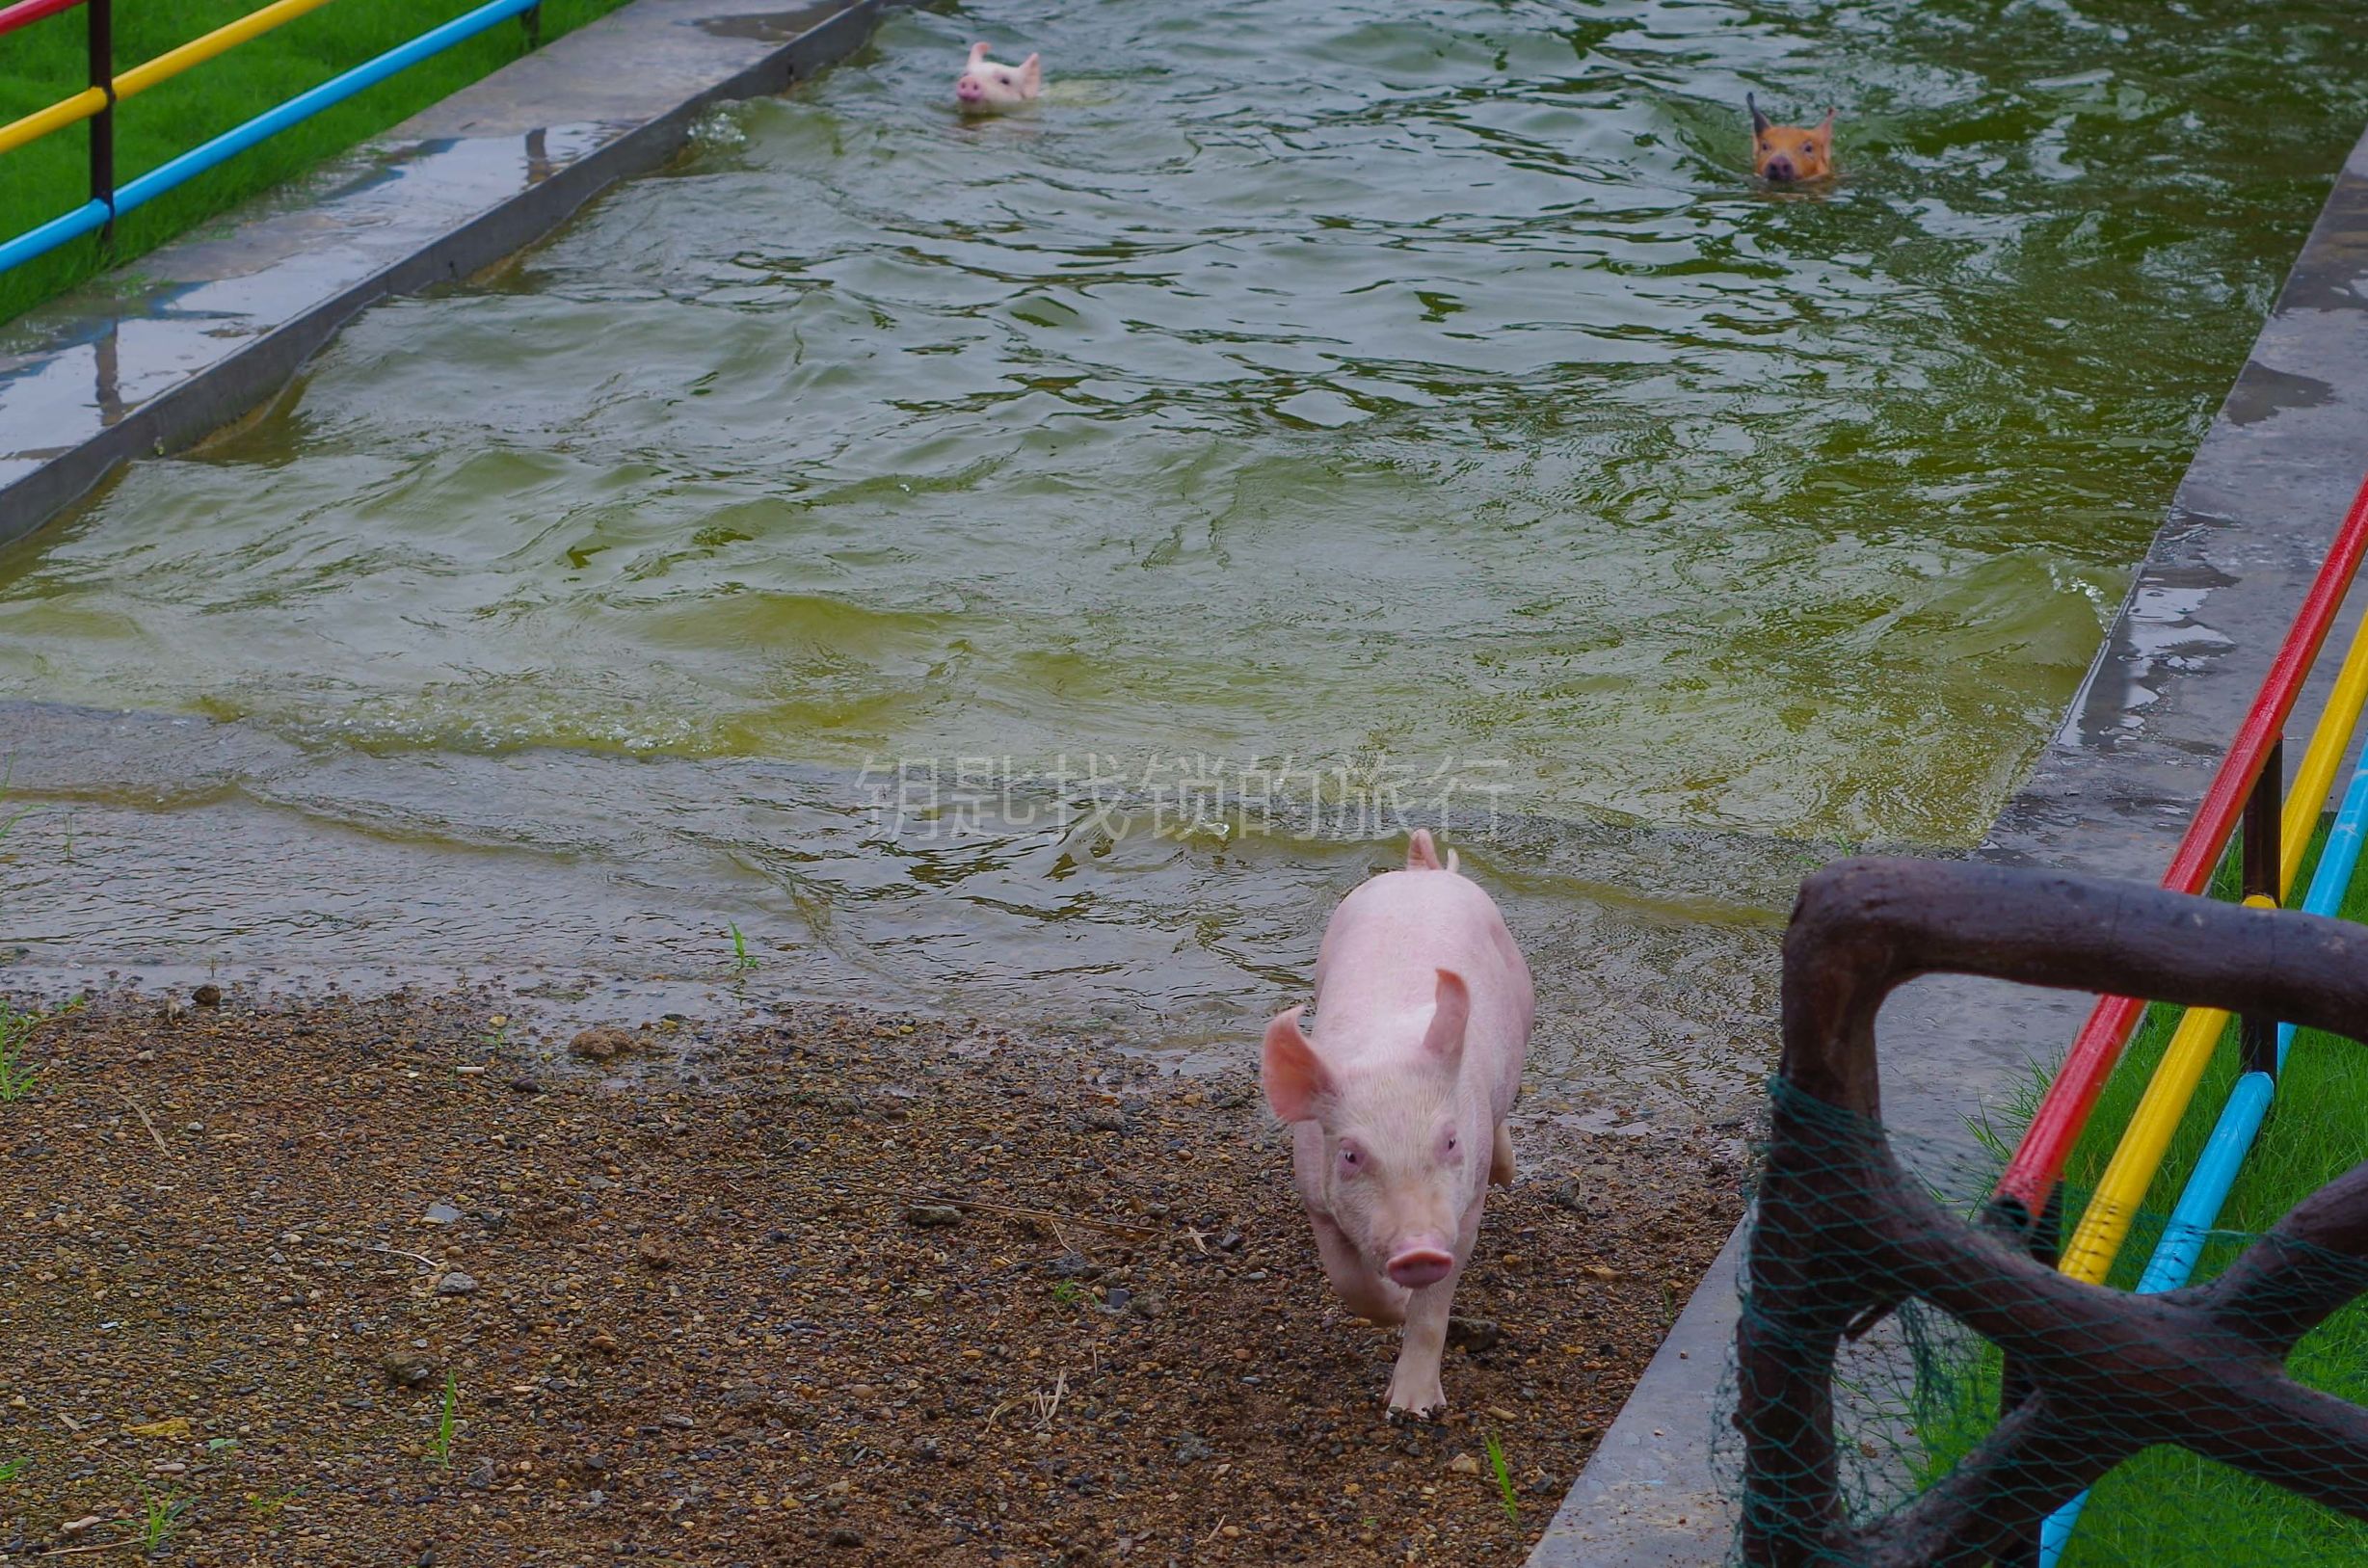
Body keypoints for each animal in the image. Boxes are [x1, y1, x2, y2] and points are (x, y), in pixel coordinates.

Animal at [1260, 834, 1534, 1421]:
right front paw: (1397, 1302)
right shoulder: (1314, 1192)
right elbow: (1348, 1281)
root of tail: (1421, 872)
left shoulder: (1463, 1208)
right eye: (1350, 1155)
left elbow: (1435, 1308)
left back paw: (1507, 1172)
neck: (1385, 1057)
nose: (1418, 1250)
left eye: (1450, 1141)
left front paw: (1412, 1410)